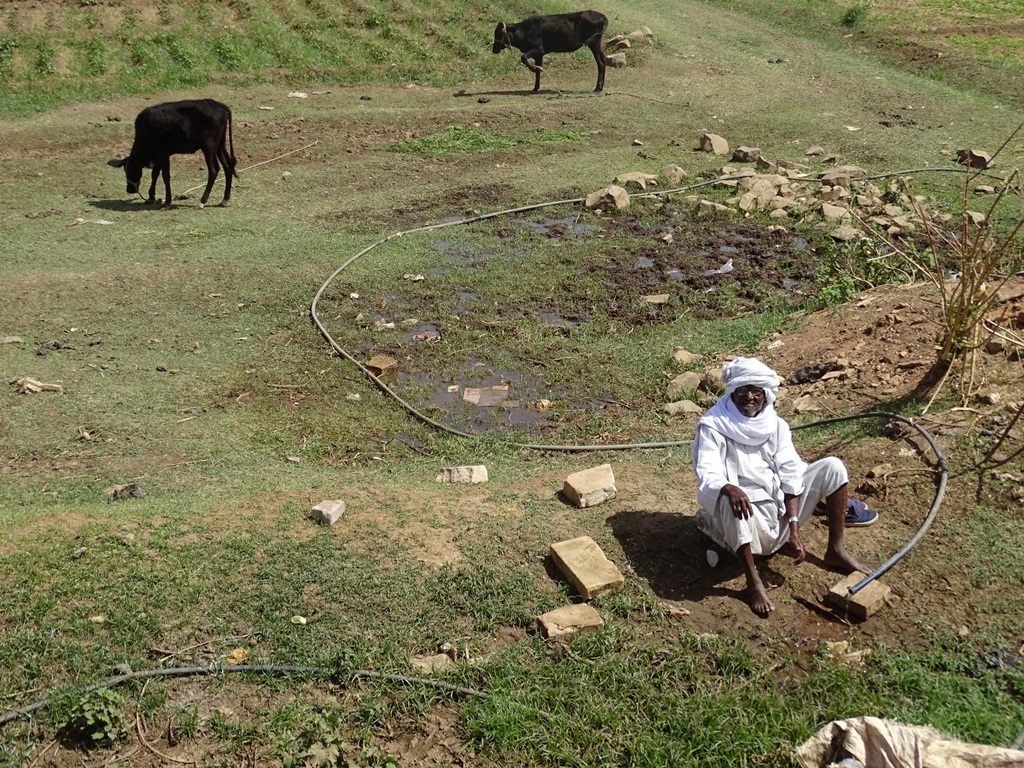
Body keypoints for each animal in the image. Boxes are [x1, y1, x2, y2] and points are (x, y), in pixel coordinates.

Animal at [108, 99, 237, 208]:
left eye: (129, 170)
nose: (130, 190)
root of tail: (219, 105)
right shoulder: (157, 155)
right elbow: (155, 174)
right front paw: (151, 197)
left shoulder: (163, 154)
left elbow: (165, 176)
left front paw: (167, 202)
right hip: (220, 145)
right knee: (227, 167)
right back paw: (225, 200)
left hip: (209, 147)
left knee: (214, 170)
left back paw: (202, 201)